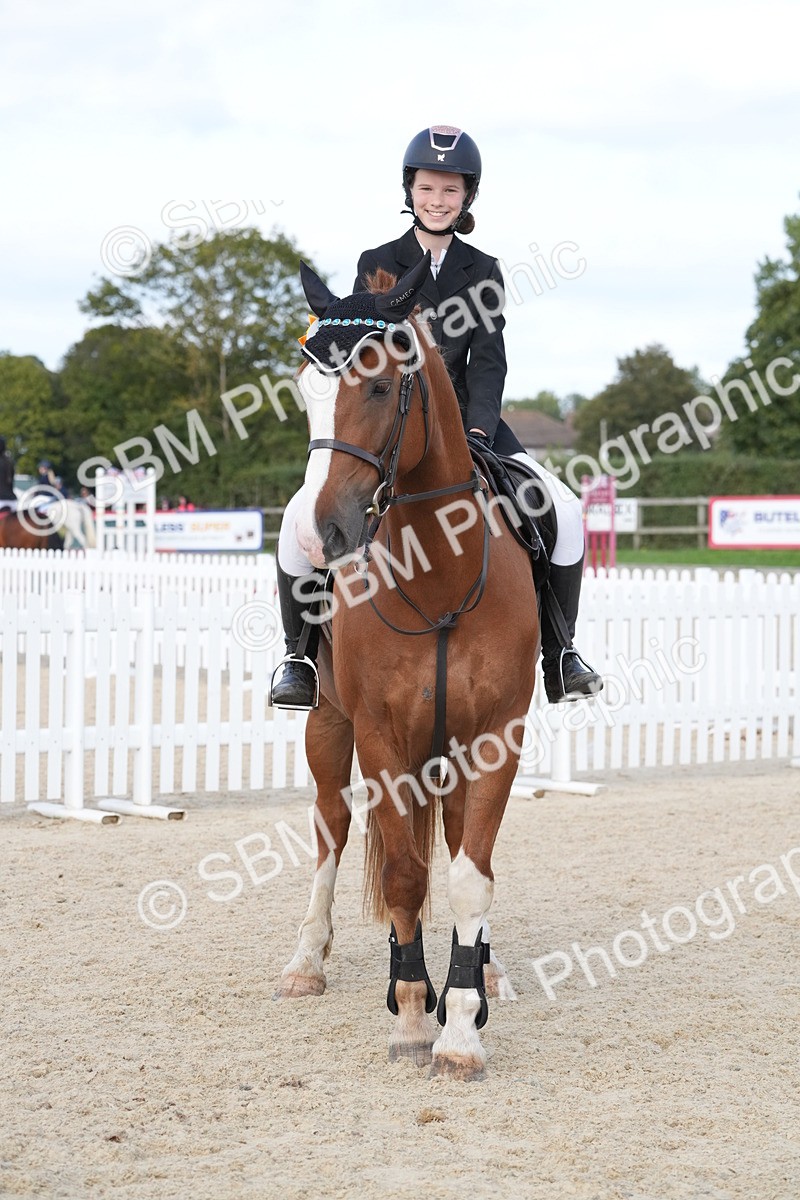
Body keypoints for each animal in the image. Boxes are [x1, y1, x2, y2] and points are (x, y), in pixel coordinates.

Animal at [274, 253, 540, 1081]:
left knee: (451, 845)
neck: (439, 574)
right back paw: (307, 962)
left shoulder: (494, 737)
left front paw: (461, 1025)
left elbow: (468, 874)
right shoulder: (382, 736)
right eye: (305, 389)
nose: (323, 535)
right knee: (331, 827)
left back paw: (483, 966)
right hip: (328, 726)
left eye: (380, 386)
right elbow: (401, 874)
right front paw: (417, 1012)